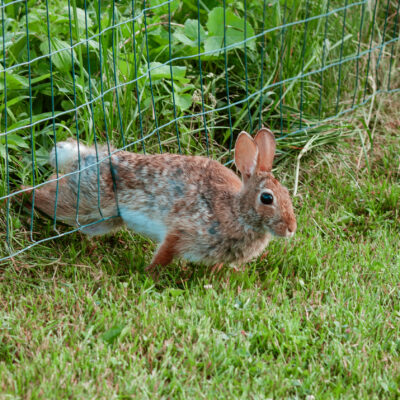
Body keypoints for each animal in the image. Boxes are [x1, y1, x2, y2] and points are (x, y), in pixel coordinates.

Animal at [21, 130, 296, 276]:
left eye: (286, 194)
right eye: (267, 198)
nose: (291, 228)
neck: (237, 211)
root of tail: (85, 156)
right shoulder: (180, 232)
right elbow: (164, 254)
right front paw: (149, 274)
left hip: (100, 220)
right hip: (84, 204)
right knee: (39, 196)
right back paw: (20, 198)